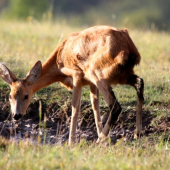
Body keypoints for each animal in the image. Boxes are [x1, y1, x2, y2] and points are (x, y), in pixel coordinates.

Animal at [0, 25, 143, 145]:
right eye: (10, 96)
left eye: (26, 96)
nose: (16, 115)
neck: (59, 61)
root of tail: (129, 50)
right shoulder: (91, 83)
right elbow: (95, 106)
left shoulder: (77, 75)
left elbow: (75, 108)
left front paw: (71, 142)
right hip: (121, 75)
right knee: (140, 83)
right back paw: (137, 134)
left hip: (96, 72)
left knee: (116, 106)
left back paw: (99, 140)